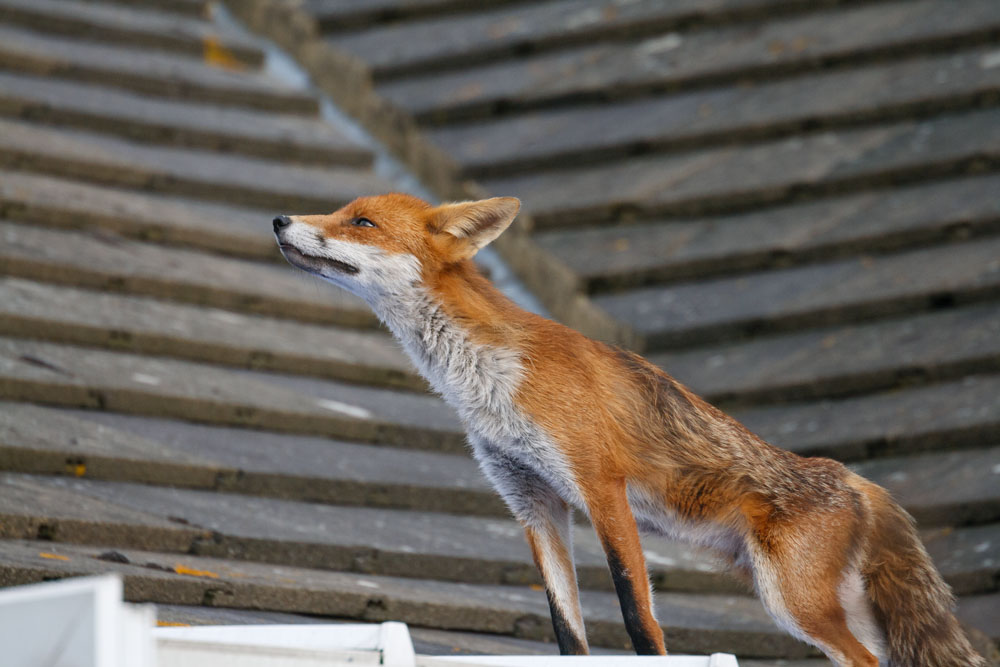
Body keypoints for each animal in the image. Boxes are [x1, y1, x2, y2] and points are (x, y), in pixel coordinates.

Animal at [272, 193, 987, 667]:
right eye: (339, 210)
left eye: (360, 222)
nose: (280, 220)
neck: (486, 381)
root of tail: (859, 481)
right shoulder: (532, 501)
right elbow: (568, 631)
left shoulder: (599, 487)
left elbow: (638, 620)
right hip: (823, 605)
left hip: (794, 601)